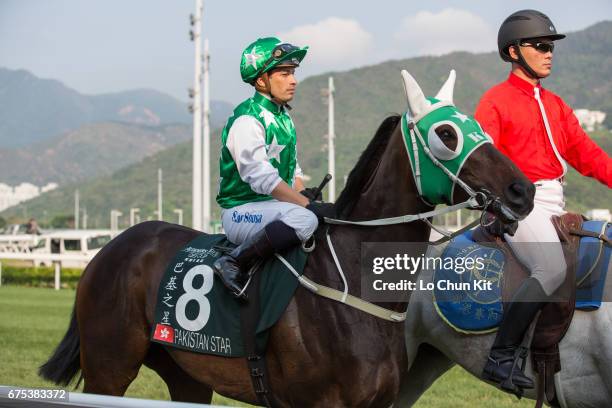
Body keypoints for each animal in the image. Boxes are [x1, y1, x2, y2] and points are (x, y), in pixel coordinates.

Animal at [39, 71, 536, 406]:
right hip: (109, 369)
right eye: (446, 134)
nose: (523, 191)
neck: (354, 288)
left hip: (186, 374)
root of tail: (113, 247)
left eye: (478, 125)